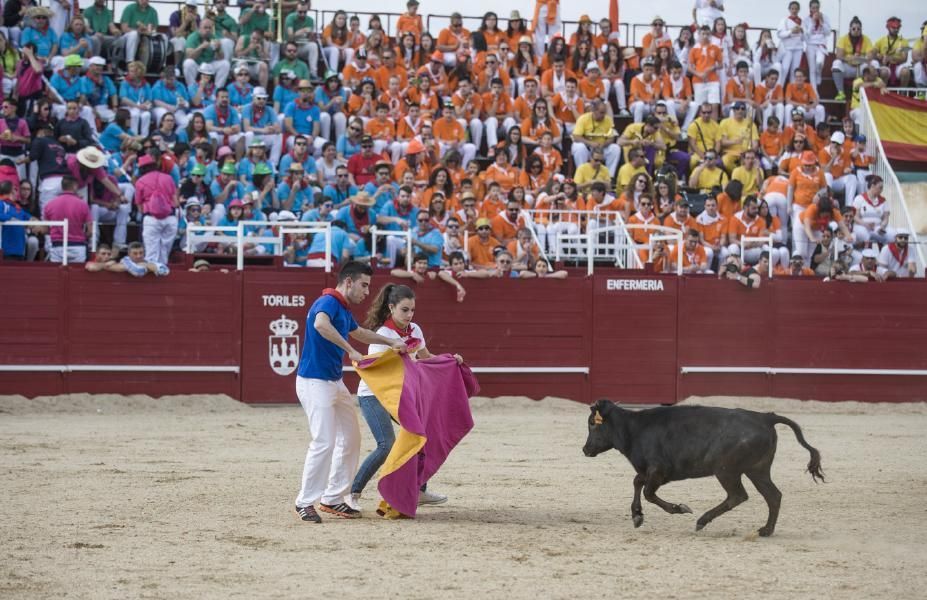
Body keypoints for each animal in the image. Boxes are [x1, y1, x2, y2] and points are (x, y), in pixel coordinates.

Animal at [584, 400, 824, 536]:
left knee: (738, 495)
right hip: (757, 470)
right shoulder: (650, 471)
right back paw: (766, 530)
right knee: (773, 495)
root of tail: (765, 417)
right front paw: (637, 516)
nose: (585, 449)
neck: (634, 429)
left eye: (592, 423)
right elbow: (637, 483)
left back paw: (701, 521)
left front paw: (680, 508)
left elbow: (648, 492)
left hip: (727, 471)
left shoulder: (659, 471)